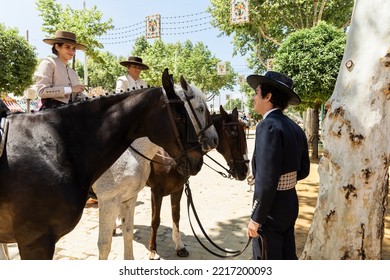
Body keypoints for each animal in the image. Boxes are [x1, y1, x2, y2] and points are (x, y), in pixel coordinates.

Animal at [0, 69, 206, 260]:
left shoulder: (130, 197)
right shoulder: (109, 200)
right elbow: (105, 244)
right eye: (183, 115)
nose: (199, 157)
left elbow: (130, 232)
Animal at [146, 106, 250, 260]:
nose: (244, 171)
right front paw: (153, 250)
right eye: (233, 134)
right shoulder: (156, 191)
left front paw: (179, 246)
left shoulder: (178, 189)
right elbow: (155, 220)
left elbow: (176, 216)